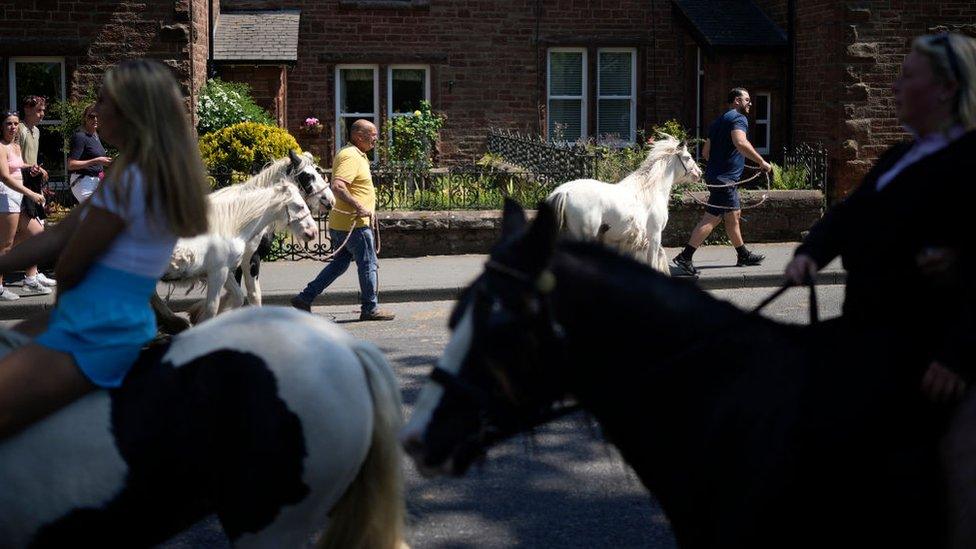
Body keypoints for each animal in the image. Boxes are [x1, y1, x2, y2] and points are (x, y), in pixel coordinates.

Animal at [548, 136, 700, 272]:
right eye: (688, 157)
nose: (699, 173)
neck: (651, 190)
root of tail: (564, 192)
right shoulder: (655, 236)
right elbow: (652, 261)